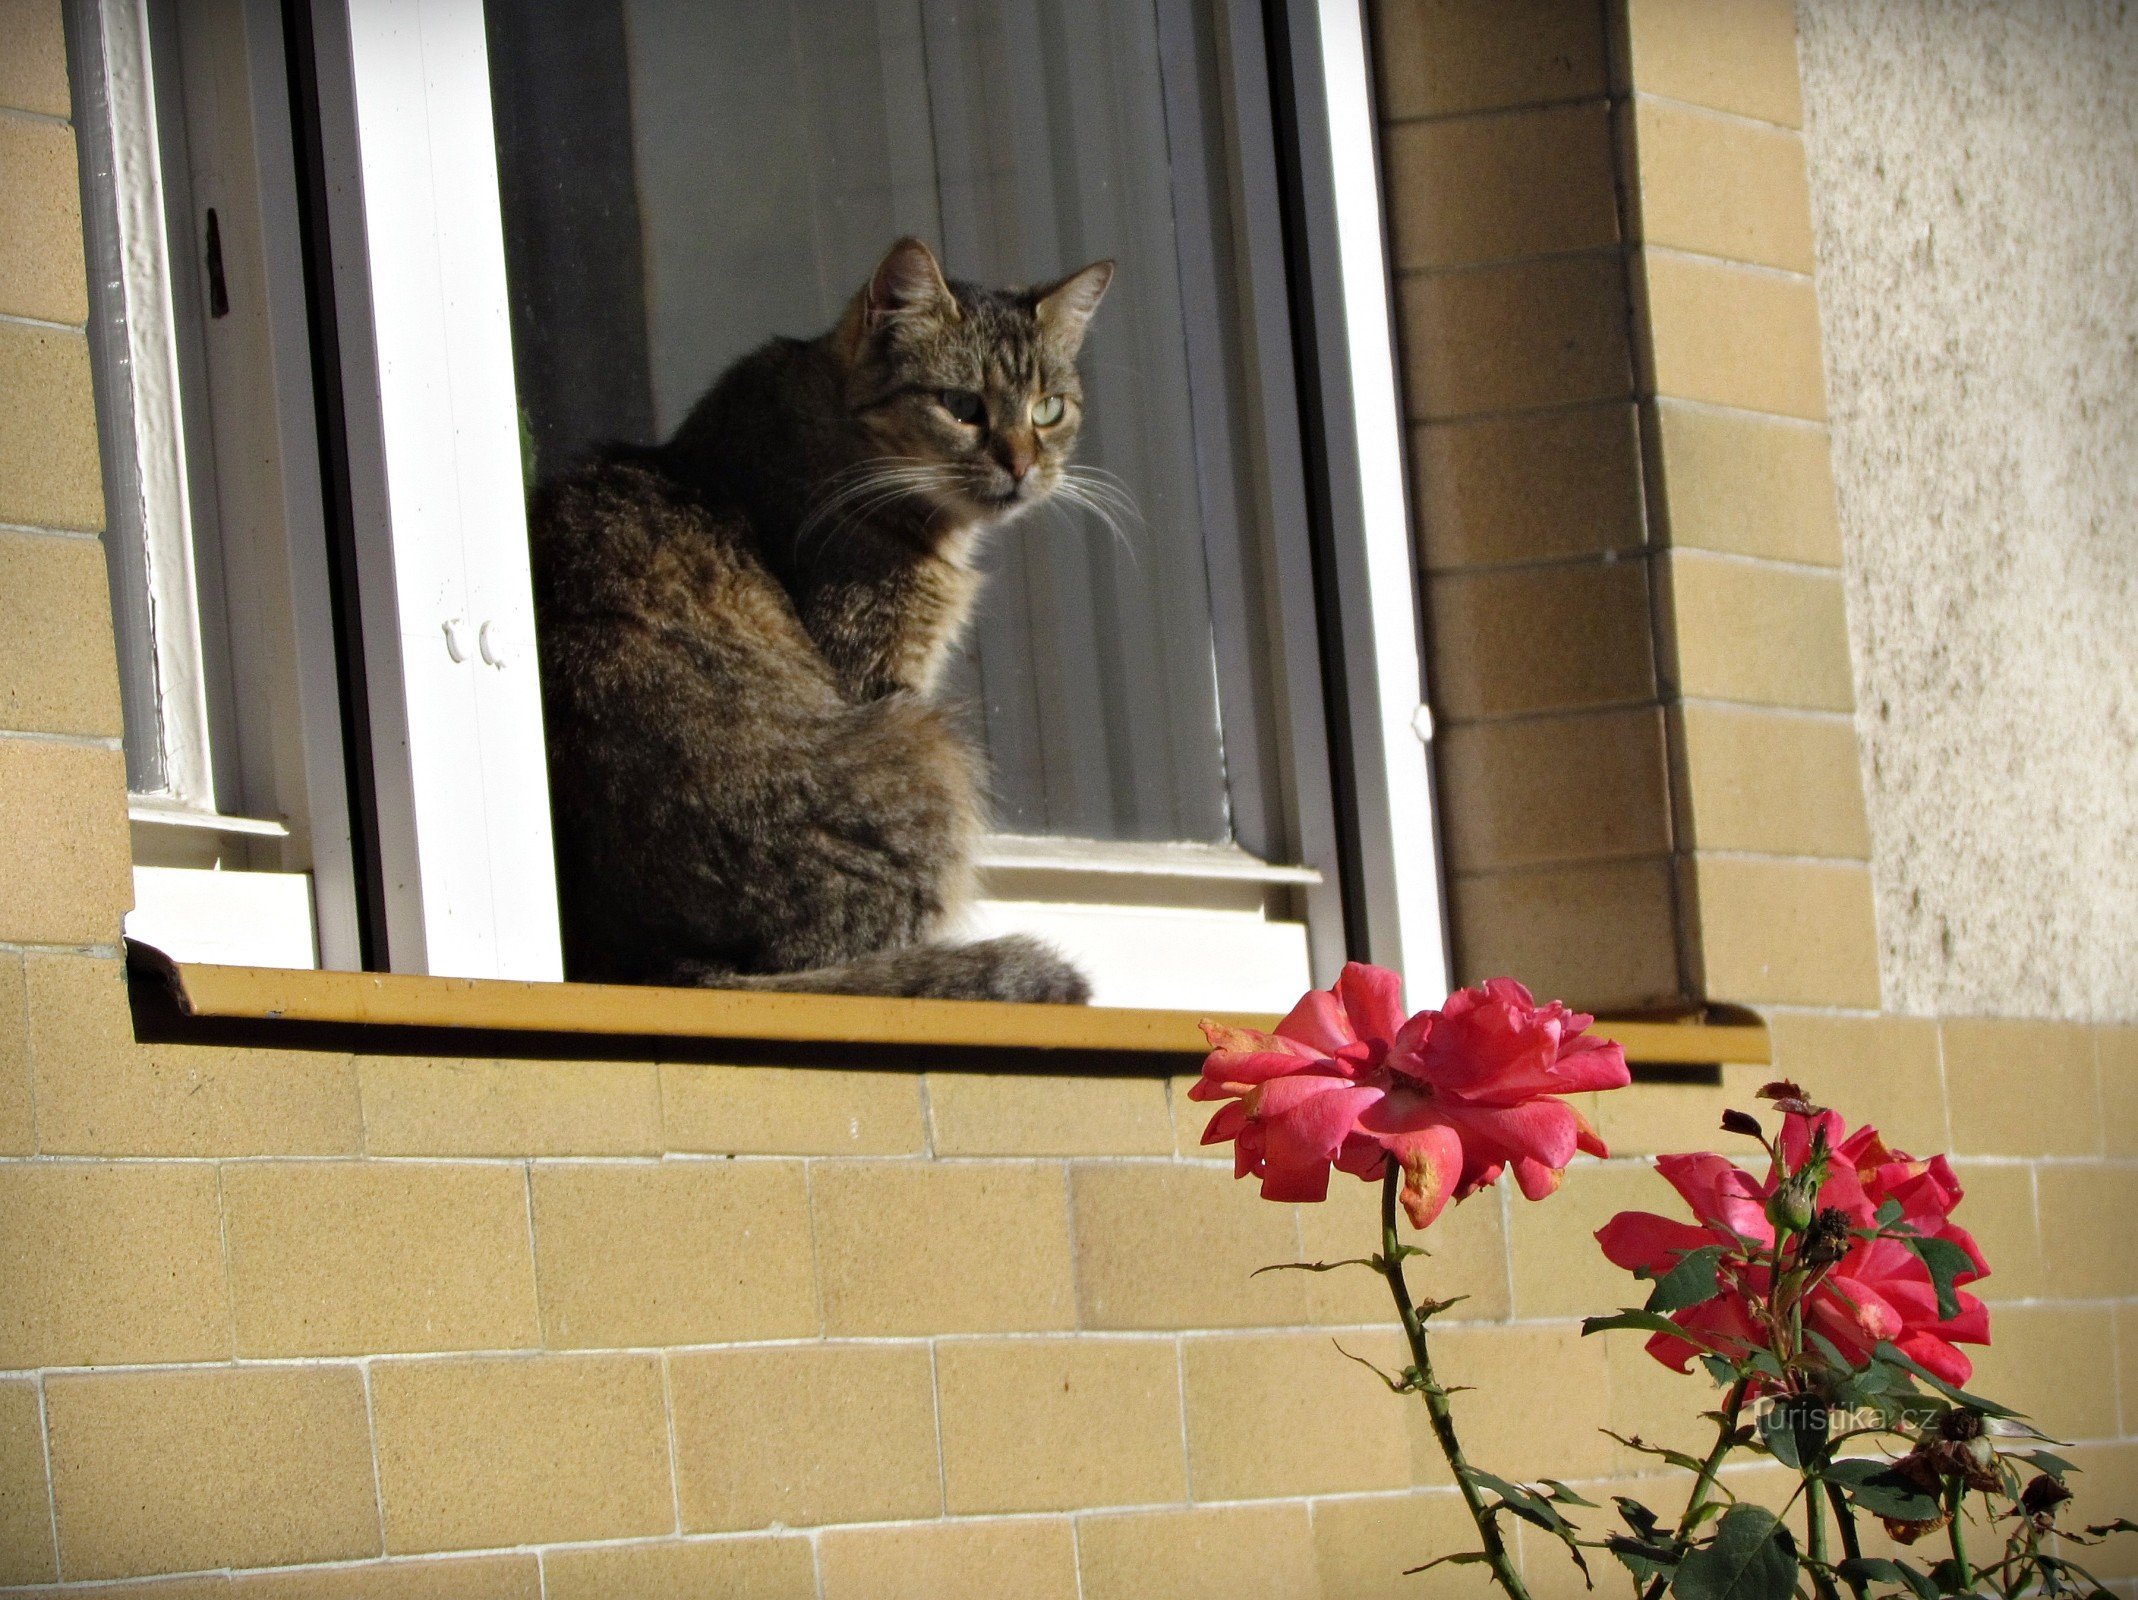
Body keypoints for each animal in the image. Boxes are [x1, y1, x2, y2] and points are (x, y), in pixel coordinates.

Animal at [525, 237, 1111, 1001]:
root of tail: (660, 967)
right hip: (929, 749)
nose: (1022, 466)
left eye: (1048, 409)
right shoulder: (878, 665)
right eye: (961, 406)